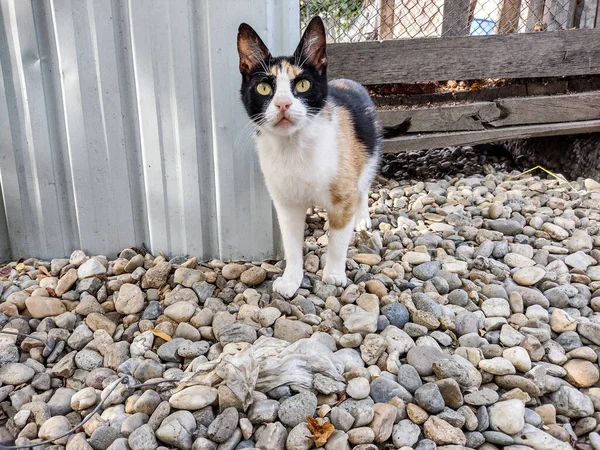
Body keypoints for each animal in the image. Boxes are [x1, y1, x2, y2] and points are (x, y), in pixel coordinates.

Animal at [237, 16, 410, 298]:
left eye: (303, 84)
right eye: (263, 87)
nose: (283, 104)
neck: (294, 149)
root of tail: (350, 82)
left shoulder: (343, 194)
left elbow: (339, 241)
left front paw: (334, 275)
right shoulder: (285, 203)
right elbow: (291, 243)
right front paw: (291, 279)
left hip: (368, 154)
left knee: (362, 188)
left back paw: (360, 218)